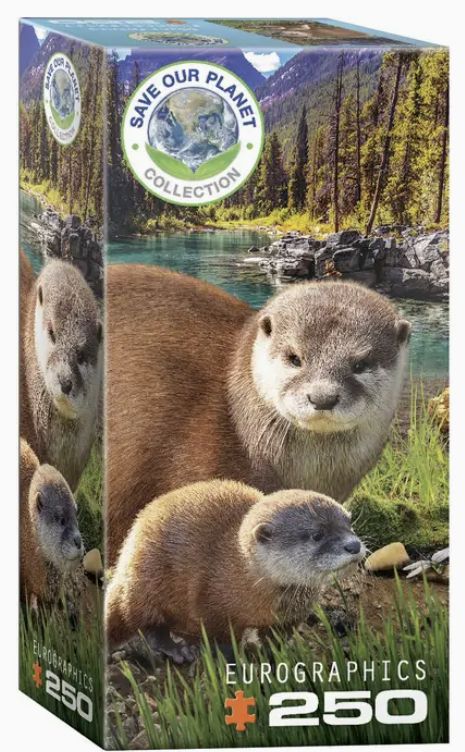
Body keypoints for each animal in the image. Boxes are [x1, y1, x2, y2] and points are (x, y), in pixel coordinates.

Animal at [105, 480, 364, 660]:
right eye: (317, 534)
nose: (353, 545)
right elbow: (221, 638)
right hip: (149, 580)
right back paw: (177, 650)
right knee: (144, 622)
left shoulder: (289, 617)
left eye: (349, 522)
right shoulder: (212, 602)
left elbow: (279, 638)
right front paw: (233, 660)